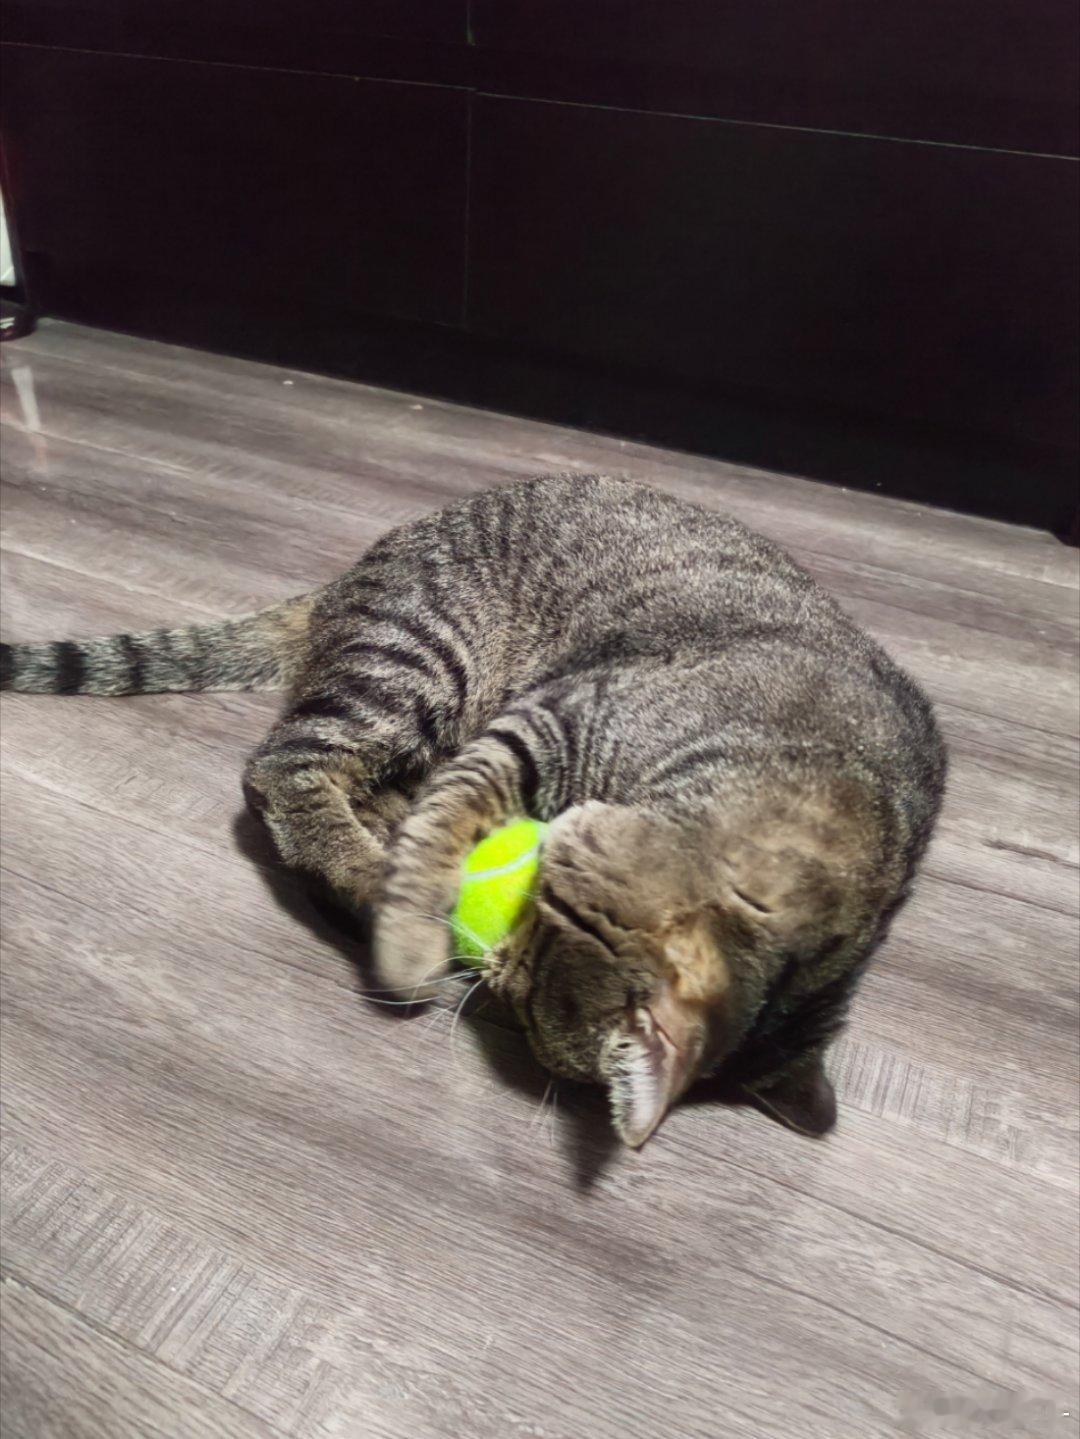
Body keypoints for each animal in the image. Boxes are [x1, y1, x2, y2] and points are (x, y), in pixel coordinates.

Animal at [1, 474, 946, 1146]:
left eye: (525, 1005)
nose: (491, 972)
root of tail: (356, 571)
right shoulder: (547, 721)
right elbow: (448, 818)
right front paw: (411, 927)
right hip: (420, 660)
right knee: (281, 768)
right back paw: (364, 875)